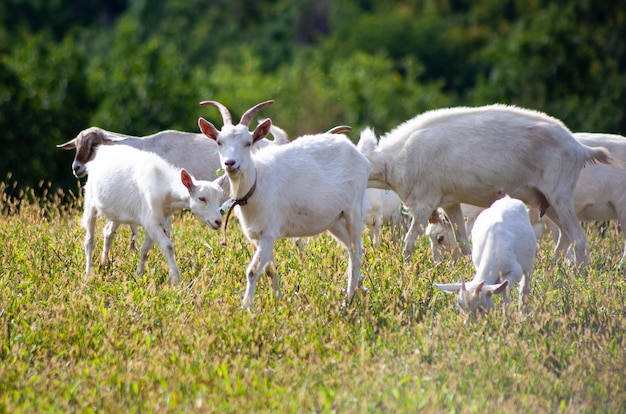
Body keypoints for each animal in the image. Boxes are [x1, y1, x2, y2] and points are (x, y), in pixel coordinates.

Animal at [82, 144, 224, 284]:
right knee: (89, 239)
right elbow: (168, 246)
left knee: (108, 233)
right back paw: (89, 272)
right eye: (202, 198)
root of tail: (102, 150)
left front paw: (139, 274)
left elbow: (145, 249)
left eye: (219, 198)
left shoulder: (157, 221)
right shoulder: (151, 220)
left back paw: (104, 263)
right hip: (90, 200)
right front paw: (176, 278)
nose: (218, 222)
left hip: (117, 211)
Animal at [197, 99, 368, 308]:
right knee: (352, 249)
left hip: (353, 210)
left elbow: (253, 271)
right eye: (219, 142)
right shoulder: (258, 236)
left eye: (248, 143)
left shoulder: (268, 233)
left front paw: (246, 306)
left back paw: (348, 299)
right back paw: (360, 290)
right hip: (334, 220)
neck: (256, 186)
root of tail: (357, 153)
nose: (230, 163)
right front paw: (277, 300)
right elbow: (269, 269)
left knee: (356, 252)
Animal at [356, 104, 608, 266]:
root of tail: (580, 149)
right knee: (566, 236)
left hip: (559, 193)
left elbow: (409, 239)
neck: (394, 160)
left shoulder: (423, 203)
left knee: (579, 238)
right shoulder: (449, 202)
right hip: (545, 200)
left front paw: (406, 266)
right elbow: (462, 240)